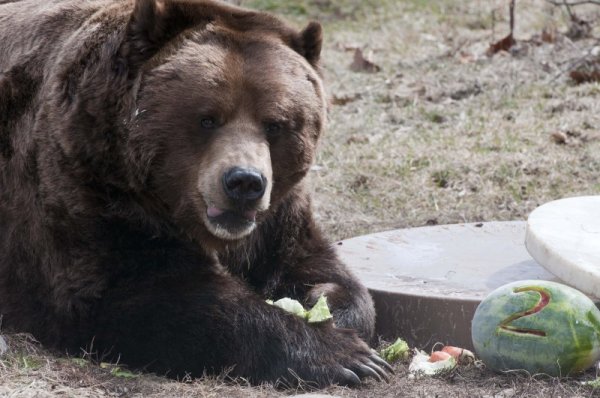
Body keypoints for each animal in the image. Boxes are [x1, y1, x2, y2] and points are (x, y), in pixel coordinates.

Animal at [0, 0, 392, 386]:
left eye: (275, 124)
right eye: (207, 119)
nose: (245, 183)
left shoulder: (279, 216)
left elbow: (322, 269)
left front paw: (323, 307)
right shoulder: (87, 186)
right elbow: (138, 296)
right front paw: (346, 357)